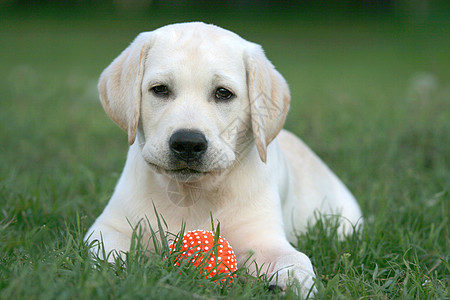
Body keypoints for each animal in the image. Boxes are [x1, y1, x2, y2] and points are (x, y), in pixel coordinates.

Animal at [86, 22, 364, 296]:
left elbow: (295, 258)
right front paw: (114, 275)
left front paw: (296, 281)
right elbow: (109, 252)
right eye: (160, 90)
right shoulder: (110, 226)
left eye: (223, 93)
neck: (190, 195)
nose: (187, 143)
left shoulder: (263, 237)